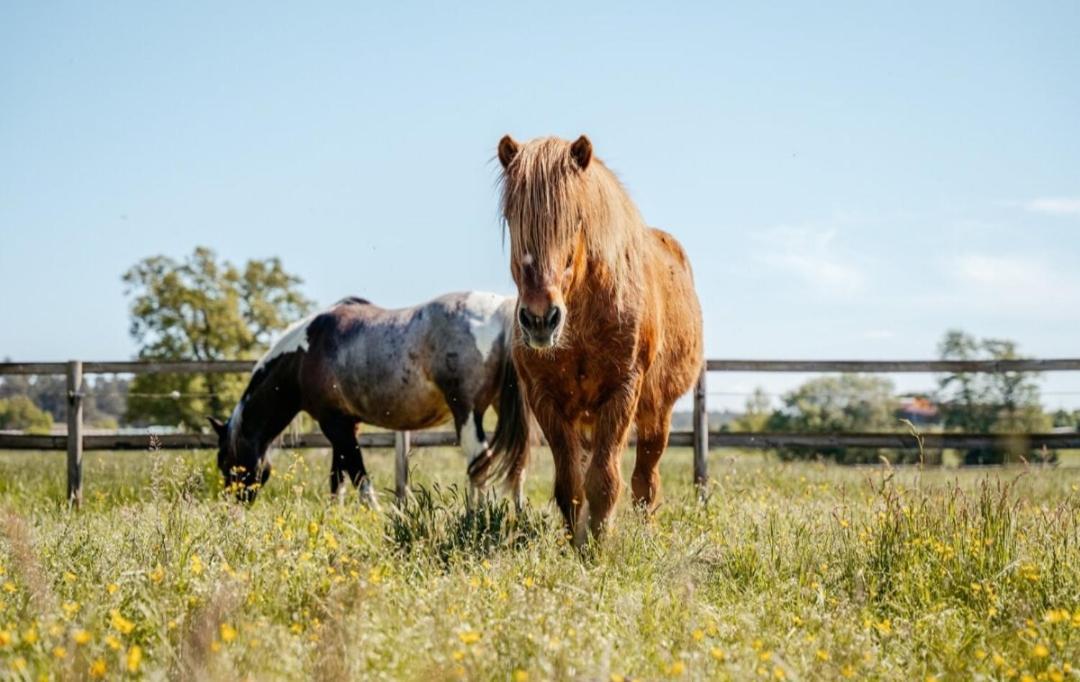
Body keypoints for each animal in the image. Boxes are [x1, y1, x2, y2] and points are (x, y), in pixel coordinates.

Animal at [206, 291, 527, 503]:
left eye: (224, 460)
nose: (233, 504)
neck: (303, 356)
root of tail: (500, 311)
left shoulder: (335, 425)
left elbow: (360, 480)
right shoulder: (346, 426)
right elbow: (337, 481)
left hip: (468, 415)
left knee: (480, 465)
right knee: (517, 466)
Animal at [492, 136, 704, 546]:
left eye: (576, 219)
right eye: (512, 218)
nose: (540, 318)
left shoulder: (622, 392)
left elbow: (605, 482)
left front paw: (597, 547)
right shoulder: (547, 400)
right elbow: (571, 485)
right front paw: (578, 544)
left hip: (656, 414)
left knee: (645, 481)